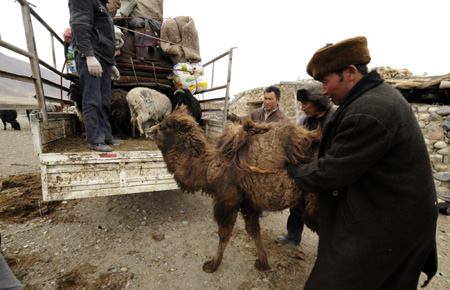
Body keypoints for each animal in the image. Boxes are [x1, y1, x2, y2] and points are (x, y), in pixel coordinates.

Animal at [149, 105, 322, 274]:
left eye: (163, 126)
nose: (149, 129)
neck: (208, 168)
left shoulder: (227, 199)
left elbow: (224, 234)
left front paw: (212, 265)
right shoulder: (248, 201)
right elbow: (253, 230)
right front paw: (263, 262)